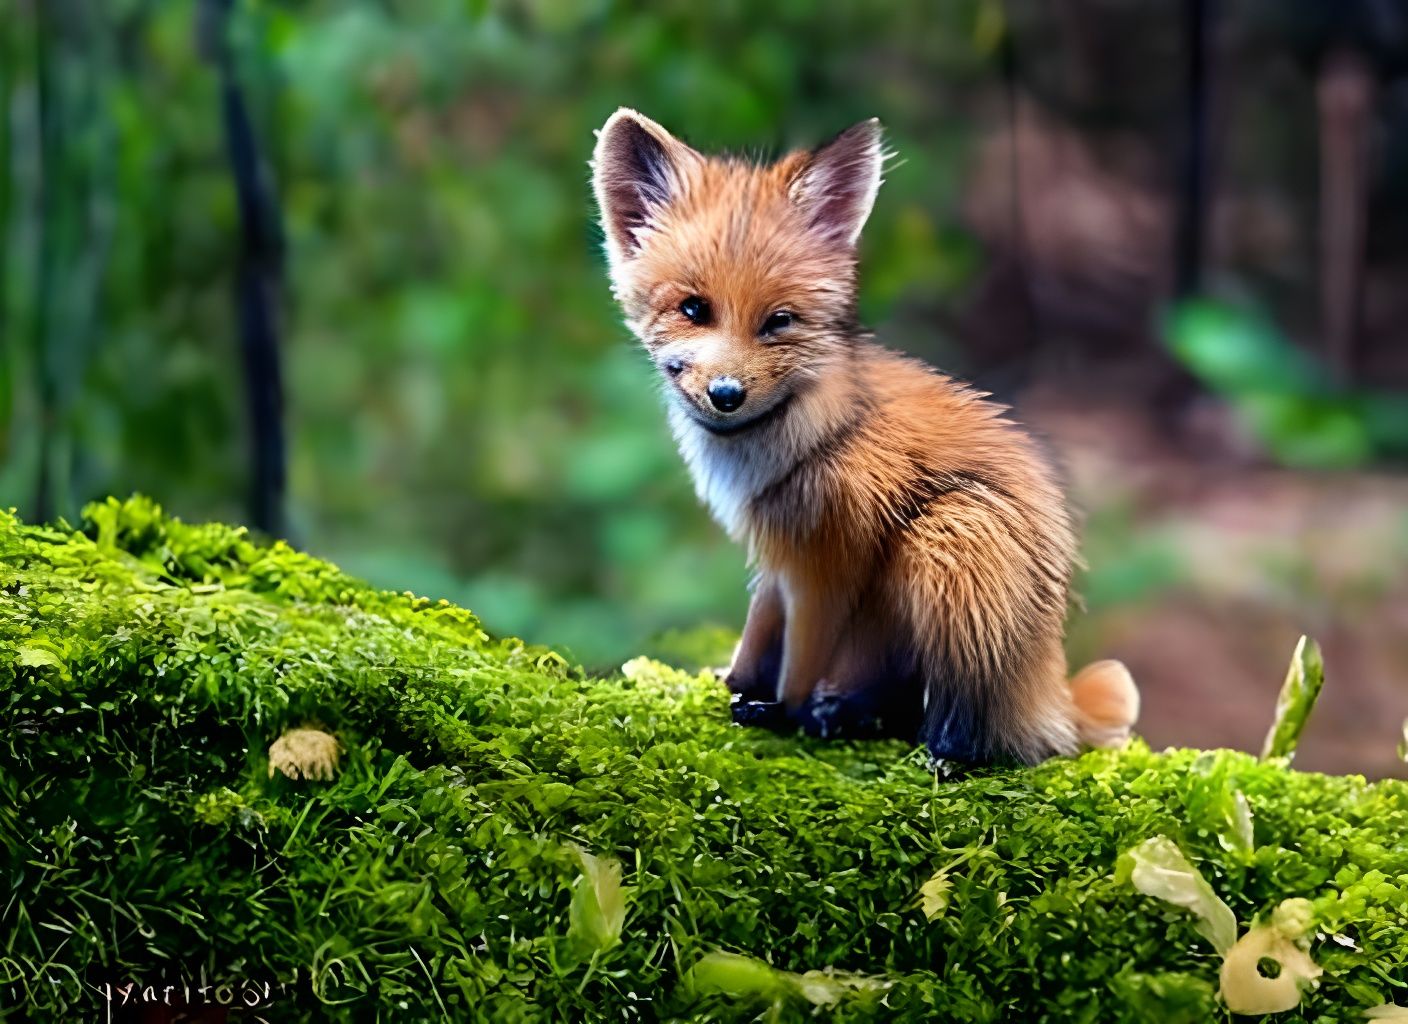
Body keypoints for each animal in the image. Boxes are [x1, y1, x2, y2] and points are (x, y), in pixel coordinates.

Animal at [591, 108, 1139, 766]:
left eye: (779, 322)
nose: (725, 394)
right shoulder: (777, 555)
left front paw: (784, 716)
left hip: (950, 536)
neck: (799, 441)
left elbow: (798, 663)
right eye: (693, 309)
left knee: (985, 731)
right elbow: (755, 639)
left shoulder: (828, 561)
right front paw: (731, 688)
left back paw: (940, 750)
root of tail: (1049, 691)